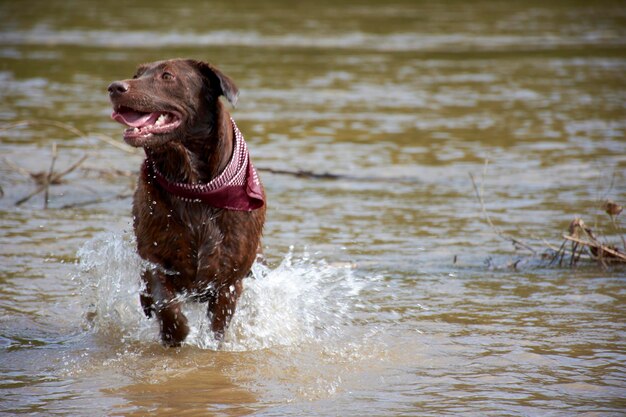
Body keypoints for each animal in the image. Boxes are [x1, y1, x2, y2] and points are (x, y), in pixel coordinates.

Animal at [107, 57, 264, 344]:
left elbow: (218, 325)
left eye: (167, 76)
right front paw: (175, 332)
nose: (115, 87)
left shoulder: (229, 280)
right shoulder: (154, 257)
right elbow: (163, 299)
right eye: (137, 75)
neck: (194, 185)